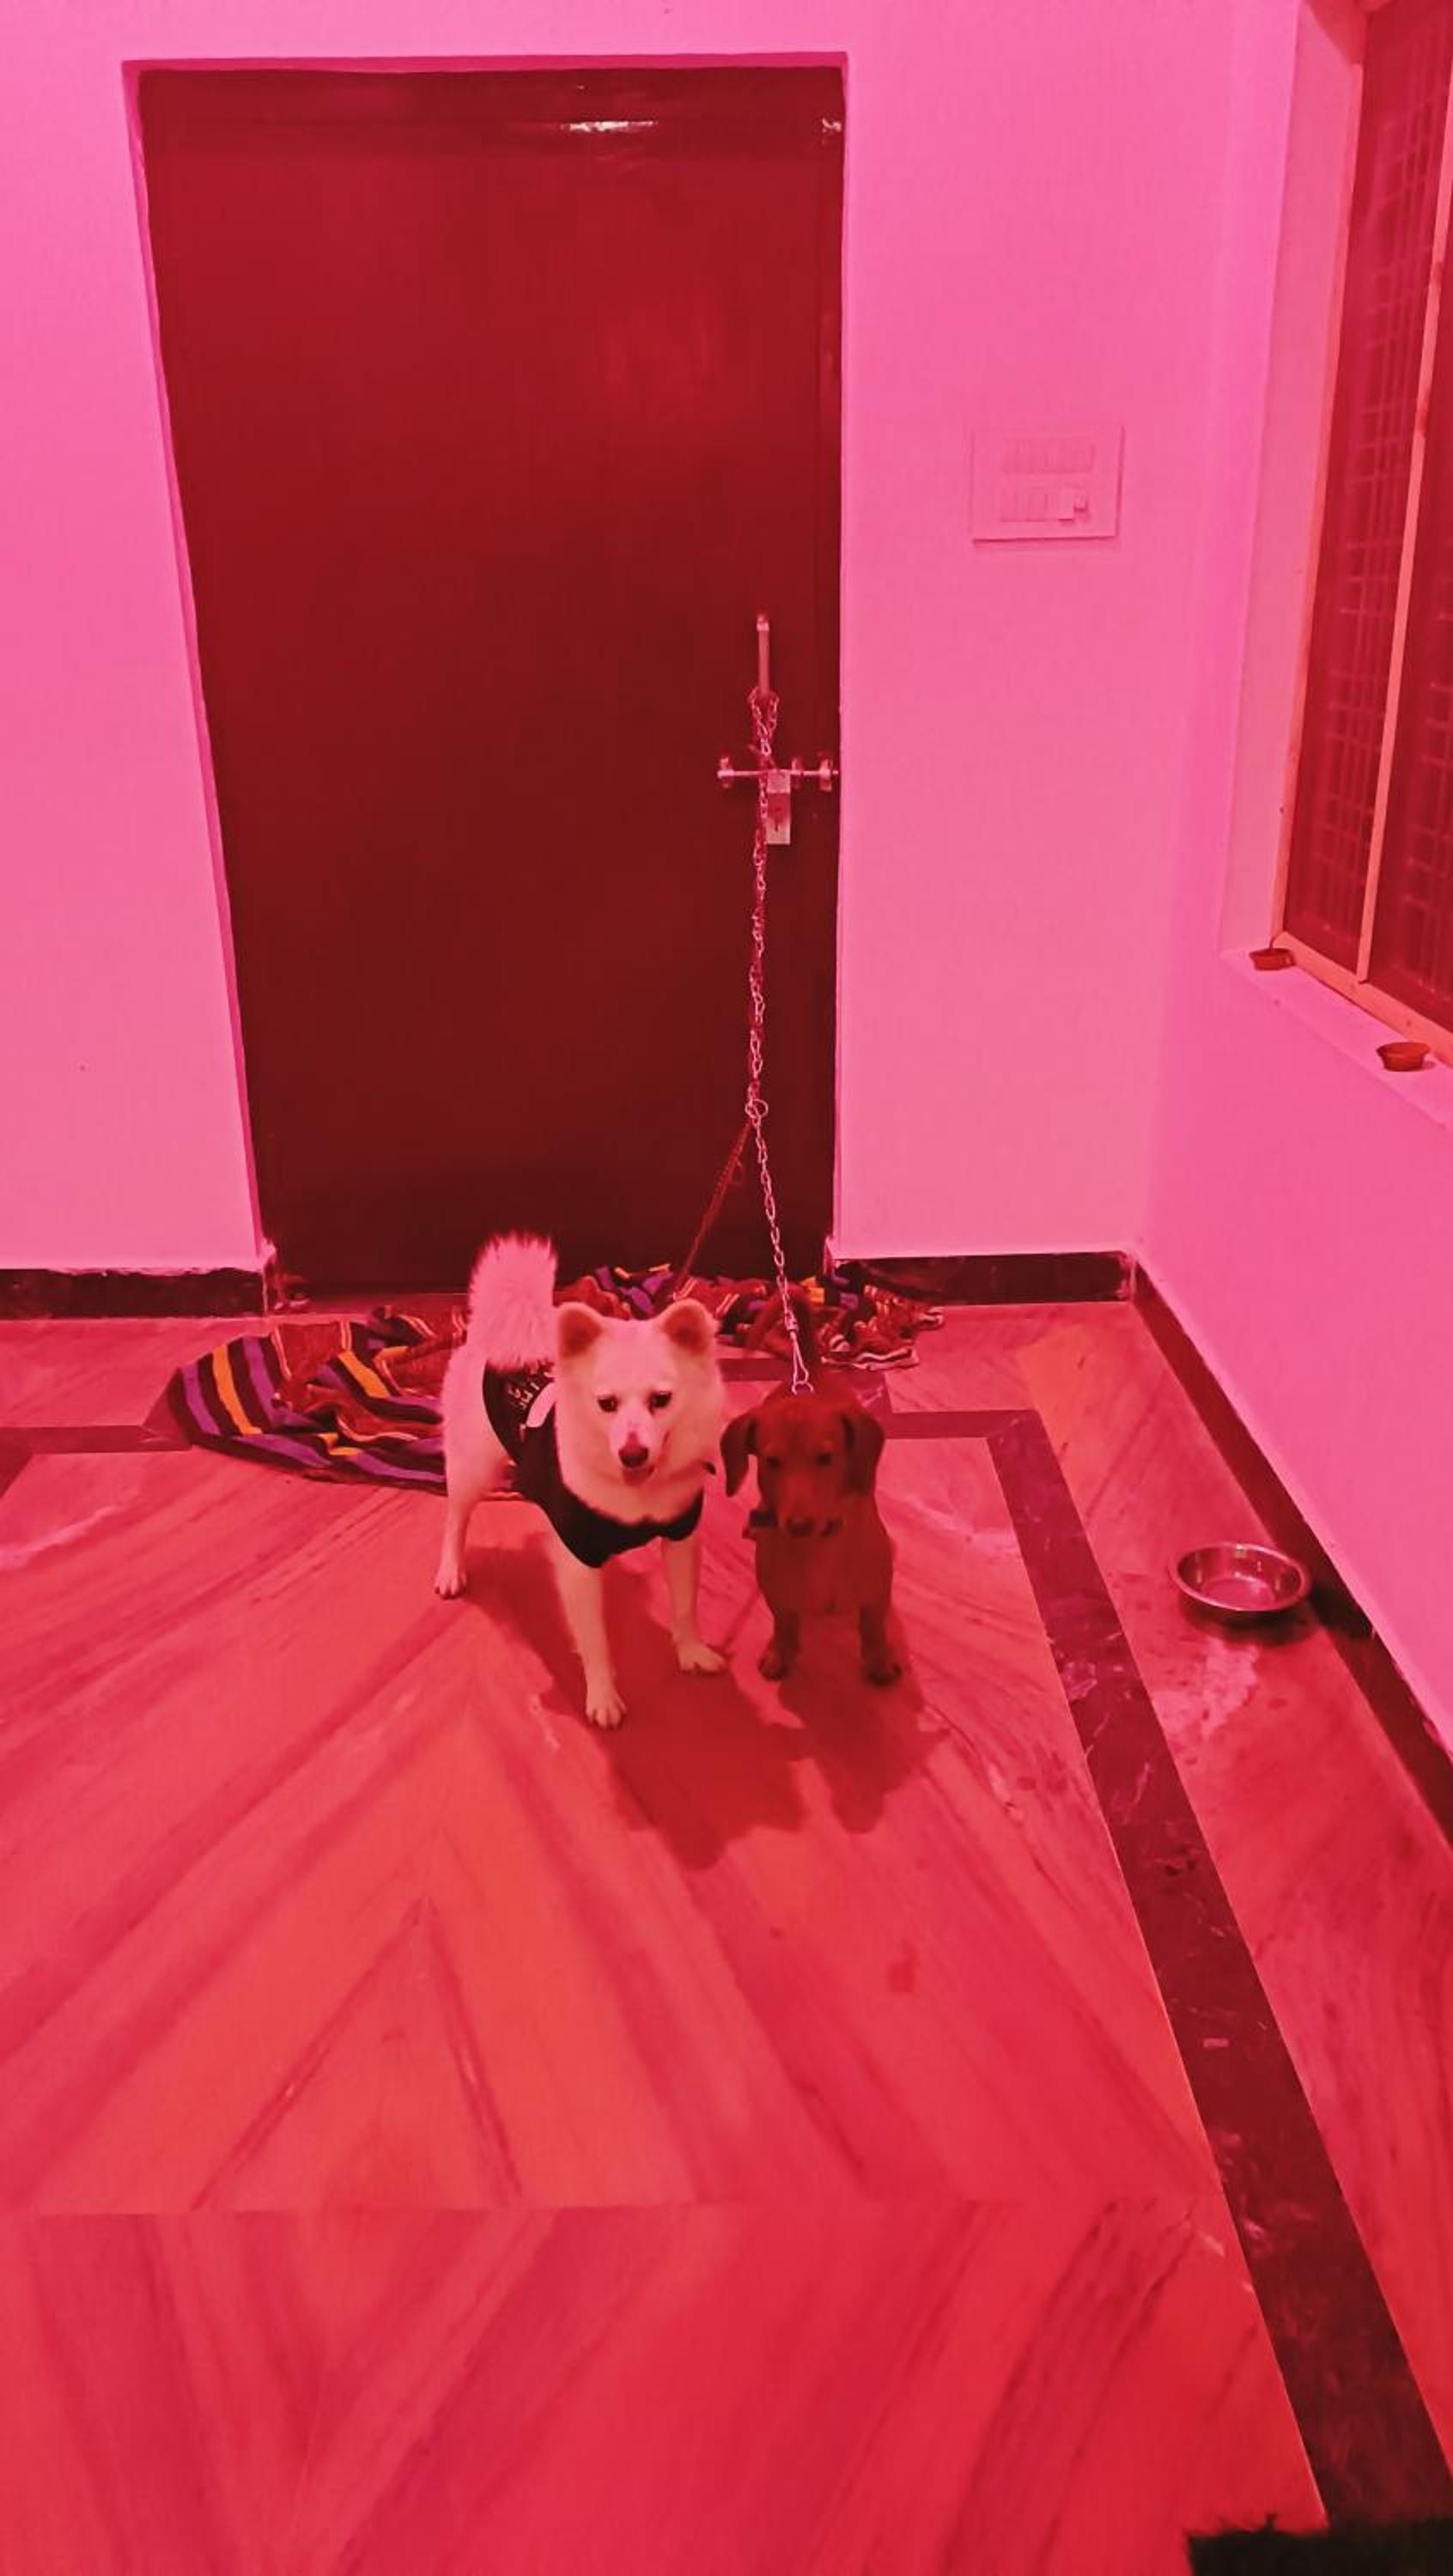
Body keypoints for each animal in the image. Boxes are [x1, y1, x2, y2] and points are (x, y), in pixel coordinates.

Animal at [435, 1236, 727, 1727]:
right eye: (606, 1404)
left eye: (661, 1400)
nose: (632, 1452)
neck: (637, 1498)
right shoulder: (579, 1561)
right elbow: (593, 1639)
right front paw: (603, 1695)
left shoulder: (681, 1534)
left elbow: (685, 1604)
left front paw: (690, 1651)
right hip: (474, 1466)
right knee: (456, 1516)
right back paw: (450, 1569)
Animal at [721, 1388, 902, 1686]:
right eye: (772, 1461)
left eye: (826, 1457)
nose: (799, 1525)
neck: (819, 1545)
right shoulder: (777, 1595)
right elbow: (784, 1624)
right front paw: (780, 1652)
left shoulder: (877, 1593)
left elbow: (874, 1627)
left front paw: (879, 1660)